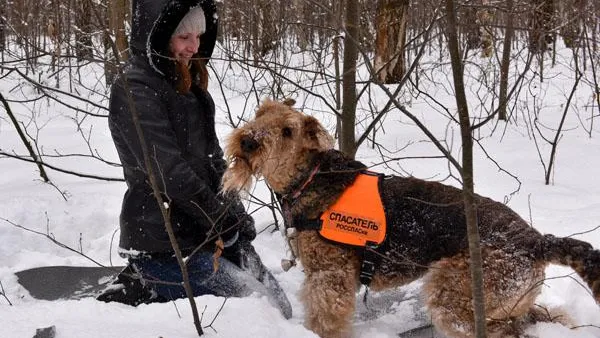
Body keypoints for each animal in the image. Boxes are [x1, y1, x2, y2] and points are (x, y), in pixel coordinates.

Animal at [221, 99, 600, 336]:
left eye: (287, 131)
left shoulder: (329, 278)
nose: (248, 140)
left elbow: (325, 320)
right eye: (260, 112)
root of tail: (536, 240)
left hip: (455, 296)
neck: (311, 177)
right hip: (508, 300)